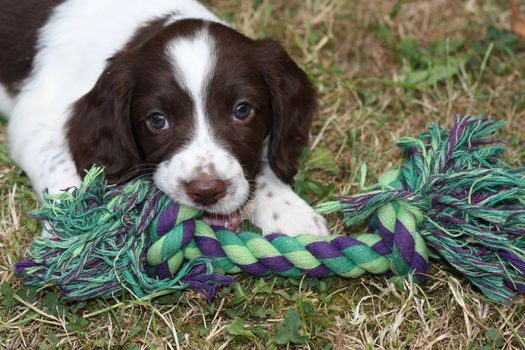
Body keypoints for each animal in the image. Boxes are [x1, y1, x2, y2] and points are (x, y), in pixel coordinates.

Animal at [0, 0, 328, 237]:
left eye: (242, 111)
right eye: (157, 120)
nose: (206, 191)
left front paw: (289, 211)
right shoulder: (34, 117)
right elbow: (61, 167)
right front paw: (73, 226)